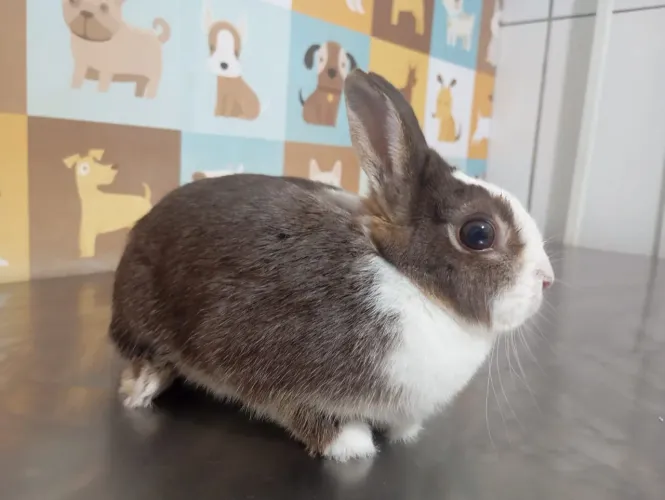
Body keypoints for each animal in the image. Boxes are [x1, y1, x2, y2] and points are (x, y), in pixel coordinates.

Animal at [110, 69, 554, 462]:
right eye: (478, 233)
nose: (547, 280)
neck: (405, 279)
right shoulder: (271, 370)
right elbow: (301, 412)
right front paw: (351, 445)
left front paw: (404, 433)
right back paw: (142, 388)